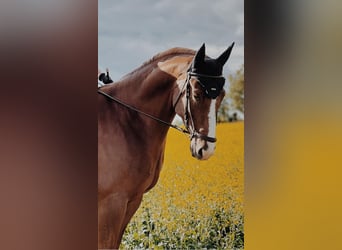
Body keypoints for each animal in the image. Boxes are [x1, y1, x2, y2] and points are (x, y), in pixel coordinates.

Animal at [97, 43, 234, 248]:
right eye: (196, 94)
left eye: (222, 95)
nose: (206, 149)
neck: (126, 120)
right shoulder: (111, 203)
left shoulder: (133, 200)